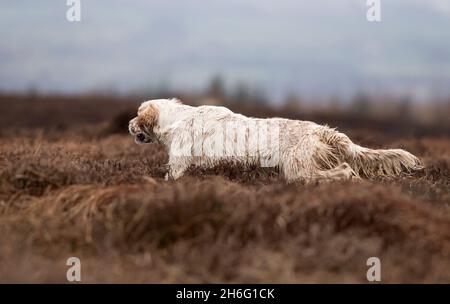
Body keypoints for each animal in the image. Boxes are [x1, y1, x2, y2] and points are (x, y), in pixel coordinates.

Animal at [129, 98, 422, 182]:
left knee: (344, 170)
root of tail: (323, 131)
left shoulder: (179, 165)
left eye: (137, 114)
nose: (128, 125)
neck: (174, 119)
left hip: (296, 168)